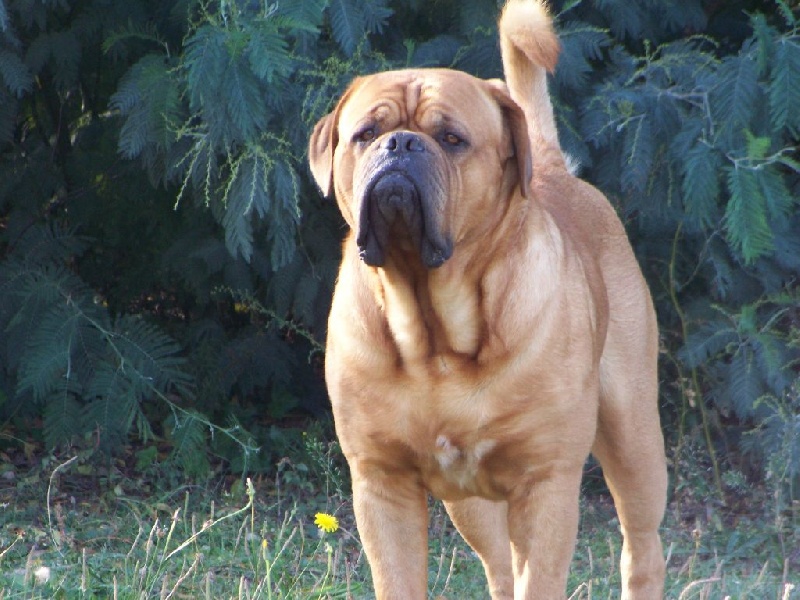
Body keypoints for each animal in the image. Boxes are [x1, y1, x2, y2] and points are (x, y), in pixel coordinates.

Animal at [308, 0, 668, 596]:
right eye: (366, 133)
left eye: (452, 138)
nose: (400, 144)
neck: (433, 333)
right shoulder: (381, 482)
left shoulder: (546, 482)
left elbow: (541, 577)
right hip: (469, 503)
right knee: (500, 565)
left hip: (634, 437)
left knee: (642, 548)